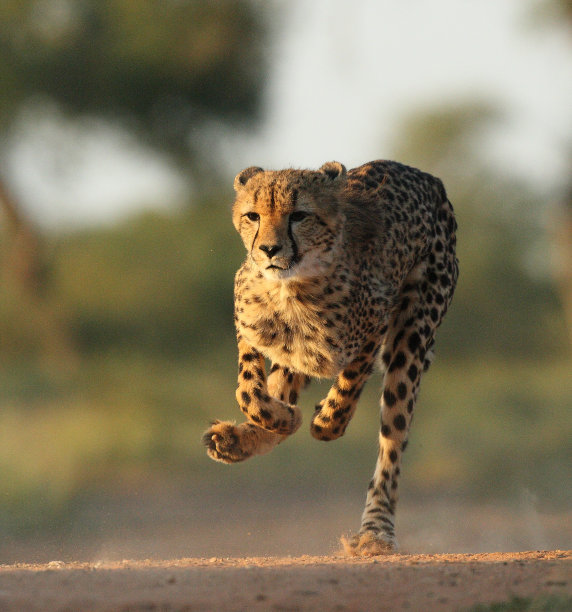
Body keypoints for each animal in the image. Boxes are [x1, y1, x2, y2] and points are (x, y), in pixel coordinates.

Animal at [203, 158, 458, 556]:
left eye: (299, 215)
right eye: (252, 215)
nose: (269, 250)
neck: (291, 289)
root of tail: (426, 177)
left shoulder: (373, 329)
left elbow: (343, 399)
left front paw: (321, 418)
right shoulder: (249, 327)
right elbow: (250, 393)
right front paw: (282, 418)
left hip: (412, 336)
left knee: (392, 440)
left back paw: (375, 533)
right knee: (282, 382)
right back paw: (239, 439)